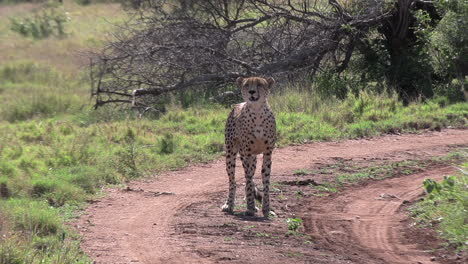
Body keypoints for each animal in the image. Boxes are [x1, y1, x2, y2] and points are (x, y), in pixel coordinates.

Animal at [221, 76, 276, 217]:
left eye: (259, 84)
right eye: (247, 85)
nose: (251, 91)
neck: (257, 112)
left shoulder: (268, 153)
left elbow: (265, 180)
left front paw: (266, 209)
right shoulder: (247, 152)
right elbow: (249, 179)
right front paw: (250, 207)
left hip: (253, 158)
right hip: (231, 153)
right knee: (233, 181)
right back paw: (229, 205)